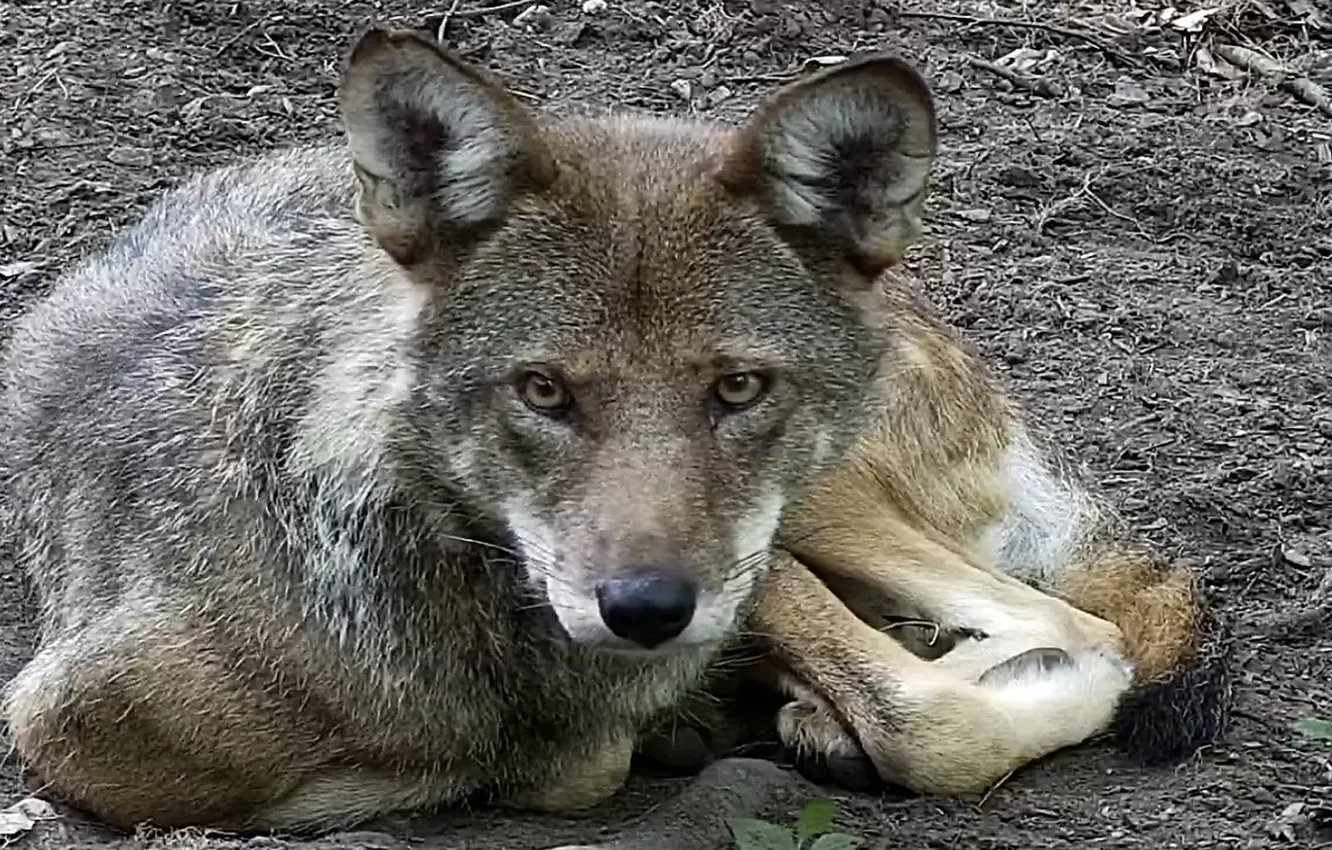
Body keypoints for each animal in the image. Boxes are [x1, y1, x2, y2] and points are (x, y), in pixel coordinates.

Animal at [0, 27, 1227, 836]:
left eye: (738, 388)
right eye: (543, 391)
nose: (644, 610)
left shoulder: (739, 581)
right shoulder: (60, 721)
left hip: (820, 510)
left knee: (1065, 632)